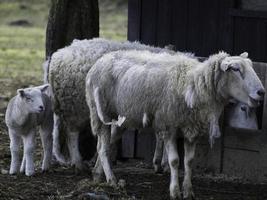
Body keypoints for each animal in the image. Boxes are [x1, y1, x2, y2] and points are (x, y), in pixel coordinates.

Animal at [48, 36, 187, 170]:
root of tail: (58, 54)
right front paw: (163, 163)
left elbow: (160, 136)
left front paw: (159, 163)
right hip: (74, 106)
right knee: (72, 134)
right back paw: (78, 163)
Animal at [85, 50, 264, 200]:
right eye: (235, 69)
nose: (261, 92)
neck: (192, 83)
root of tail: (100, 60)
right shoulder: (168, 126)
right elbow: (175, 161)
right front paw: (175, 191)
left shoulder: (192, 130)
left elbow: (189, 162)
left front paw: (188, 191)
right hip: (100, 112)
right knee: (103, 148)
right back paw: (111, 179)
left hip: (121, 120)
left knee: (105, 144)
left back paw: (97, 174)